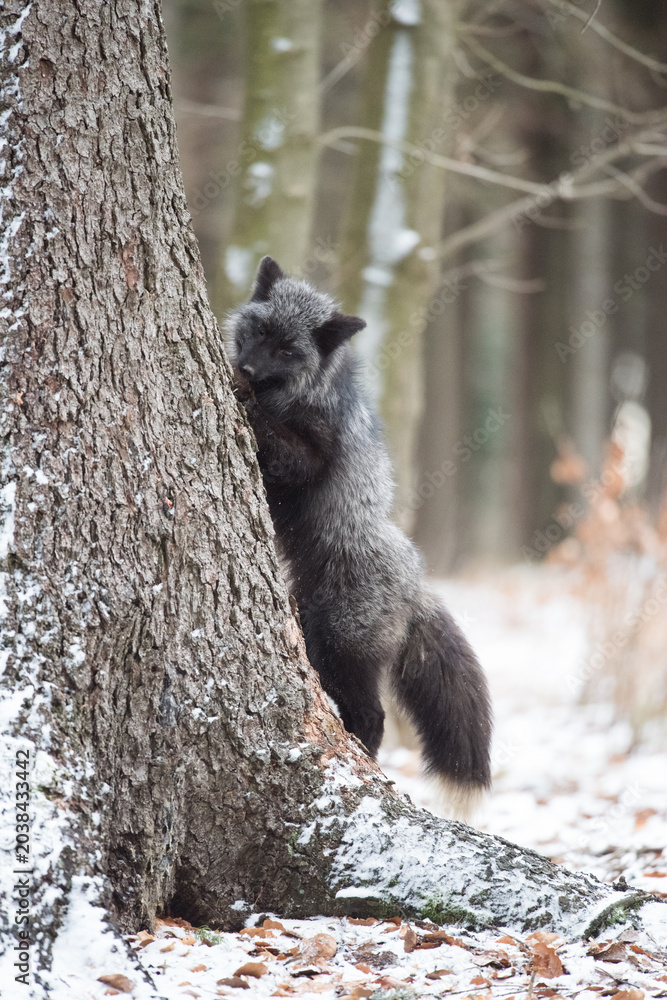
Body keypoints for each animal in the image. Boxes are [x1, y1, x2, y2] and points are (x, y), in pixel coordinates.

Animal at [226, 256, 492, 815]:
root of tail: (416, 582)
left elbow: (283, 444)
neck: (308, 392)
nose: (250, 370)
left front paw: (244, 398)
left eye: (287, 350)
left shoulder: (311, 457)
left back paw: (363, 759)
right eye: (260, 332)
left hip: (338, 648)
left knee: (373, 716)